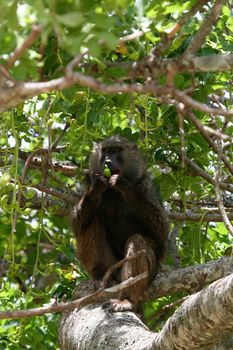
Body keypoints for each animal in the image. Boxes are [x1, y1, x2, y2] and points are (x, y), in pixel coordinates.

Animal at [71, 135, 169, 312]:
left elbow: (161, 230)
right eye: (106, 151)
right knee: (92, 219)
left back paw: (126, 299)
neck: (113, 193)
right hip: (112, 266)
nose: (108, 161)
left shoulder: (145, 184)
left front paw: (122, 184)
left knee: (136, 242)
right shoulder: (87, 182)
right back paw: (99, 273)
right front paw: (97, 188)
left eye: (116, 150)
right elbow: (76, 223)